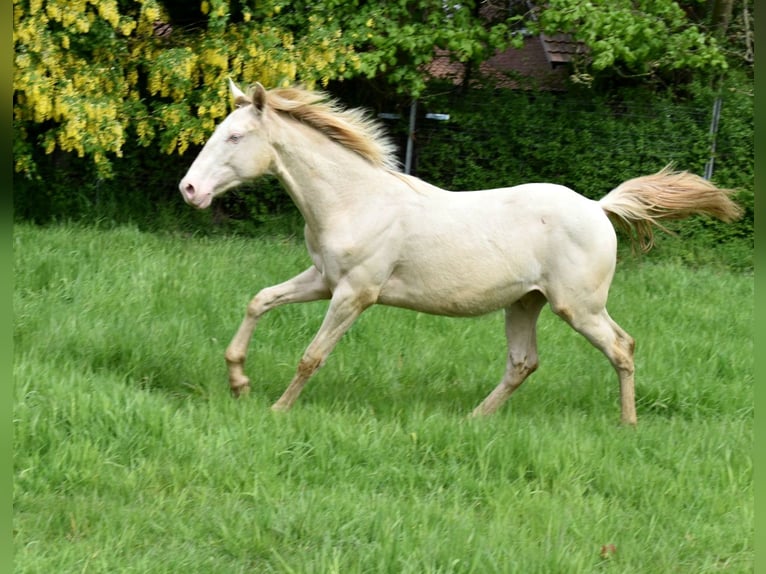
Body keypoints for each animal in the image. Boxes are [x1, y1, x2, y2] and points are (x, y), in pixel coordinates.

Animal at [180, 80, 744, 428]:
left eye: (235, 136)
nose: (189, 189)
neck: (354, 200)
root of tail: (598, 208)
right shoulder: (323, 280)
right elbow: (259, 300)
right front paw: (239, 383)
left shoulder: (355, 293)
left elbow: (312, 355)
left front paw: (276, 409)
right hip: (525, 303)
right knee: (523, 363)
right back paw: (475, 419)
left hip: (578, 306)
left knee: (622, 347)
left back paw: (627, 423)